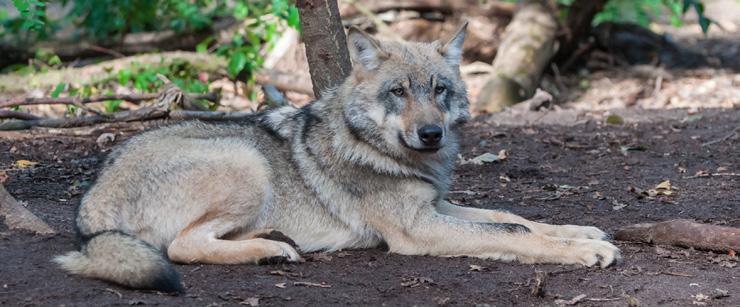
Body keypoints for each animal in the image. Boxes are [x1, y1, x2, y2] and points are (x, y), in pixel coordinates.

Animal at [55, 24, 620, 294]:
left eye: (438, 89)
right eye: (398, 92)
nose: (431, 134)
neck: (374, 144)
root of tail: (90, 203)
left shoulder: (435, 206)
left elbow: (513, 218)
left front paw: (581, 233)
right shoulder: (418, 228)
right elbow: (512, 233)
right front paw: (584, 251)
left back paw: (271, 242)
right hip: (245, 161)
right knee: (181, 248)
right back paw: (271, 251)